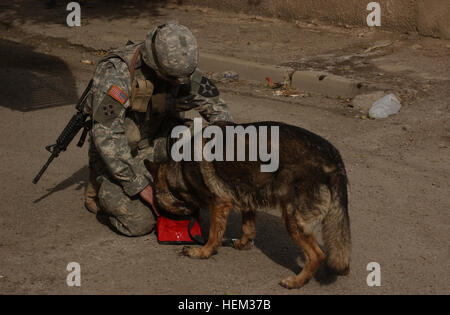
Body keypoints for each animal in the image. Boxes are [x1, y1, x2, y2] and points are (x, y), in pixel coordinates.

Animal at [146, 122, 350, 290]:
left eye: (159, 208)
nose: (158, 224)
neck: (178, 172)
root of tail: (333, 157)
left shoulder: (219, 203)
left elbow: (213, 234)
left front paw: (204, 252)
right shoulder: (246, 196)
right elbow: (248, 225)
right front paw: (243, 242)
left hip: (293, 220)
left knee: (317, 255)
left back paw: (297, 281)